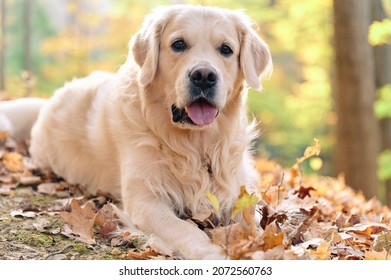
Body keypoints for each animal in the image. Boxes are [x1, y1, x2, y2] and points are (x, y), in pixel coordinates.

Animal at [0, 4, 272, 260]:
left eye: (226, 49)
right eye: (178, 44)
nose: (204, 75)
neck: (195, 144)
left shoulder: (237, 189)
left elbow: (254, 221)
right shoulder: (145, 200)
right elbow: (186, 230)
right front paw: (215, 254)